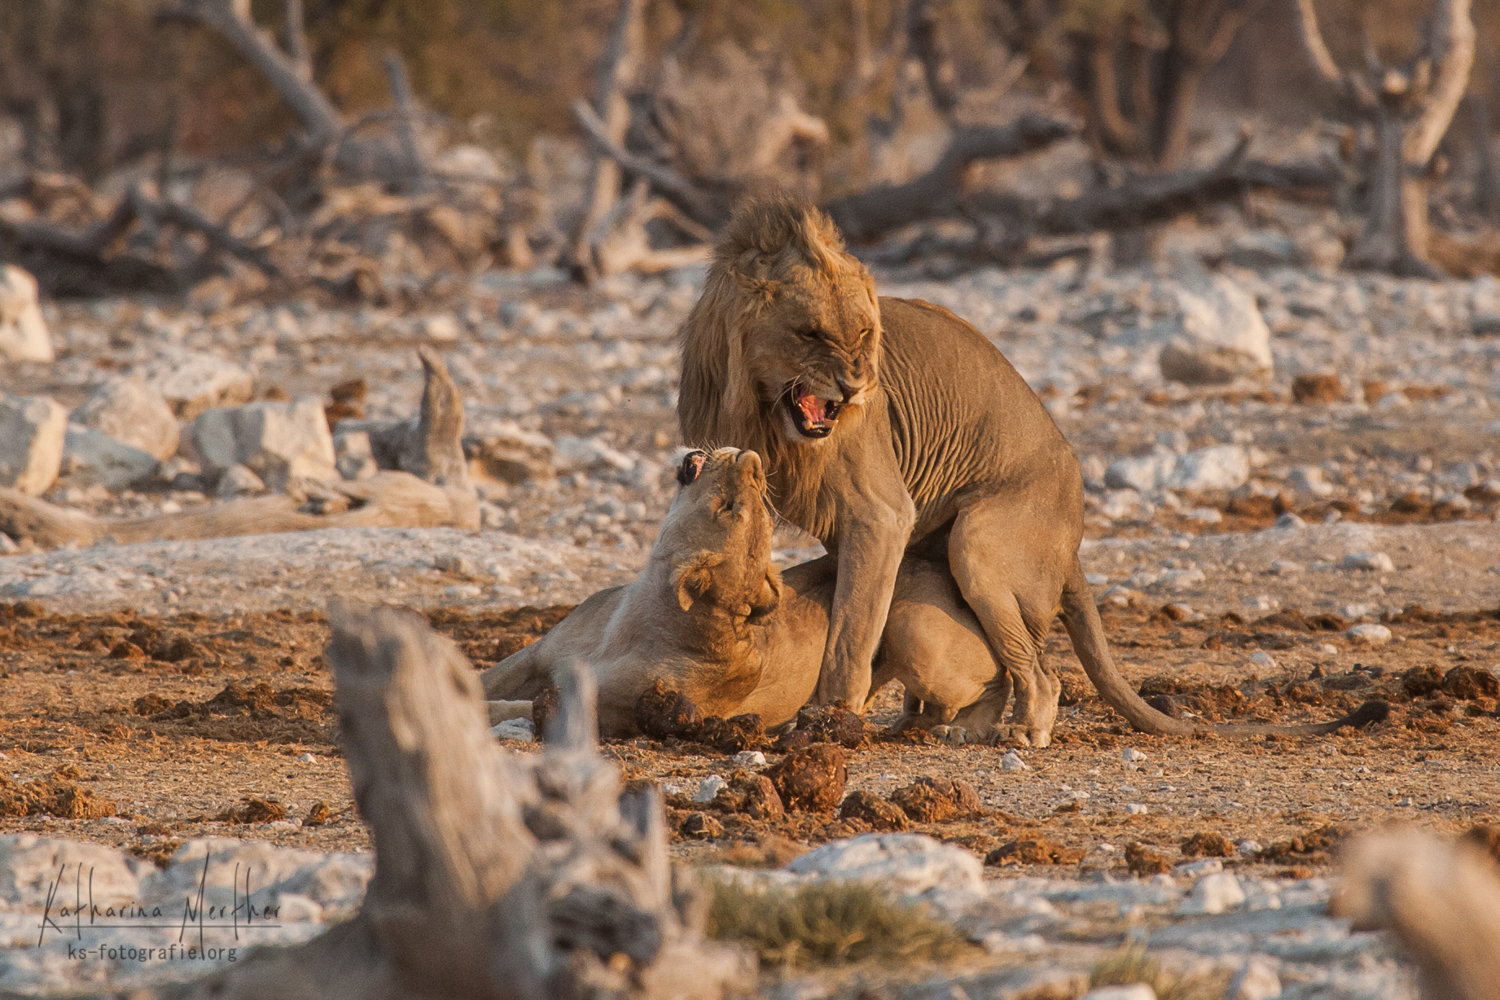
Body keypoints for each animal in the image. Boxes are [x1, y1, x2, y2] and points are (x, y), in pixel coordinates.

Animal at [678, 194, 1380, 746]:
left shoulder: (882, 512)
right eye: (811, 333)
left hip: (978, 542)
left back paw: (1016, 730)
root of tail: (1073, 540)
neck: (762, 406)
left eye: (863, 335)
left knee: (1039, 670)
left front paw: (827, 719)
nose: (857, 387)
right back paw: (936, 723)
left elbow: (851, 633)